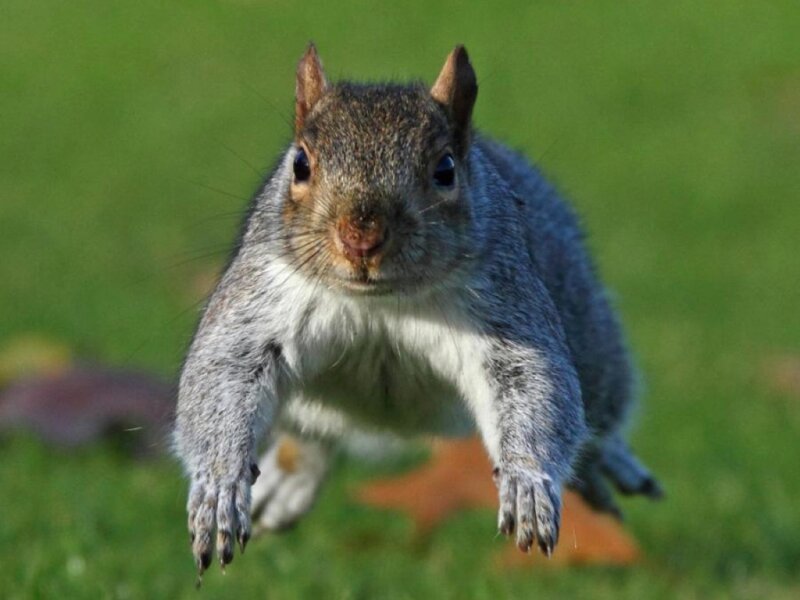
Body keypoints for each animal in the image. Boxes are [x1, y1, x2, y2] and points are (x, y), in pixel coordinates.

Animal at [173, 44, 663, 576]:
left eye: (445, 169)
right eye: (300, 164)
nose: (360, 239)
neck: (381, 302)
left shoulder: (507, 310)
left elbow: (534, 387)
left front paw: (528, 483)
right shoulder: (260, 305)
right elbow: (224, 376)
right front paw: (219, 490)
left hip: (588, 331)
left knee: (598, 408)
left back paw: (604, 462)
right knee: (313, 435)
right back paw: (290, 476)